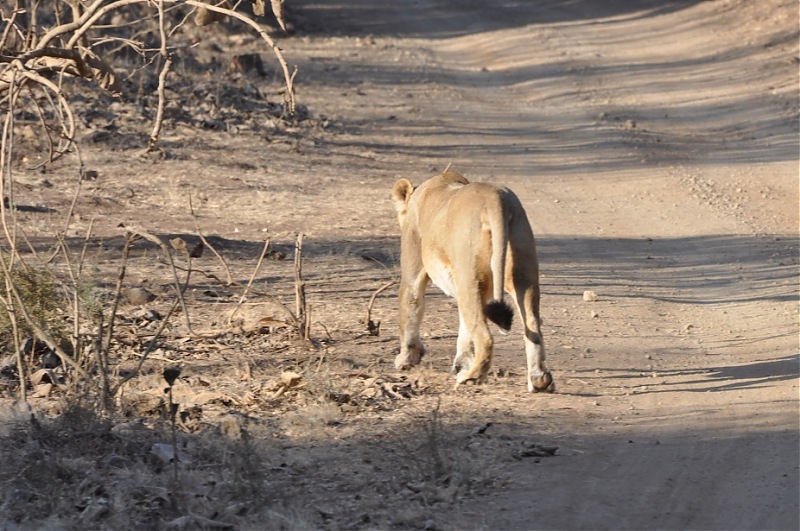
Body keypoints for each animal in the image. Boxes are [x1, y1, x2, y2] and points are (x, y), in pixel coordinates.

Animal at [390, 172, 552, 392]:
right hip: (522, 273)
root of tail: (496, 198)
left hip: (469, 275)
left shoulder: (413, 271)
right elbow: (465, 328)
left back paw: (472, 377)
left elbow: (410, 308)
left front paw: (406, 359)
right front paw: (461, 363)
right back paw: (539, 380)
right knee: (533, 325)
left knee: (485, 337)